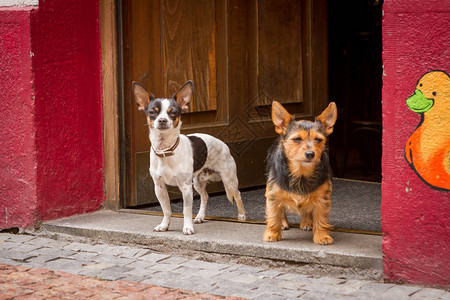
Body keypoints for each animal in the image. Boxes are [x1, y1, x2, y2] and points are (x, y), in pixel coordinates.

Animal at [132, 80, 248, 234]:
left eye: (173, 112)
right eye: (152, 112)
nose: (162, 120)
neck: (166, 151)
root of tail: (224, 145)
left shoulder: (186, 187)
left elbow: (186, 210)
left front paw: (187, 227)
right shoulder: (159, 187)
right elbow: (166, 209)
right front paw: (164, 225)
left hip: (229, 180)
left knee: (237, 194)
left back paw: (242, 216)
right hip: (198, 182)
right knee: (205, 196)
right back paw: (200, 216)